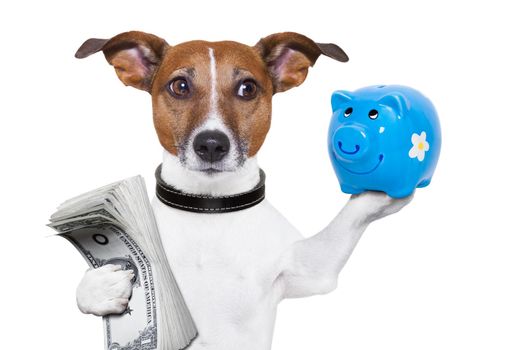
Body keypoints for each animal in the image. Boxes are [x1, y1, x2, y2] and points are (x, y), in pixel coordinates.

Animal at [73, 31, 412, 348]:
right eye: (180, 86)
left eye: (247, 88)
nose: (211, 144)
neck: (210, 210)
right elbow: (84, 291)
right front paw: (103, 285)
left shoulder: (310, 270)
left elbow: (349, 218)